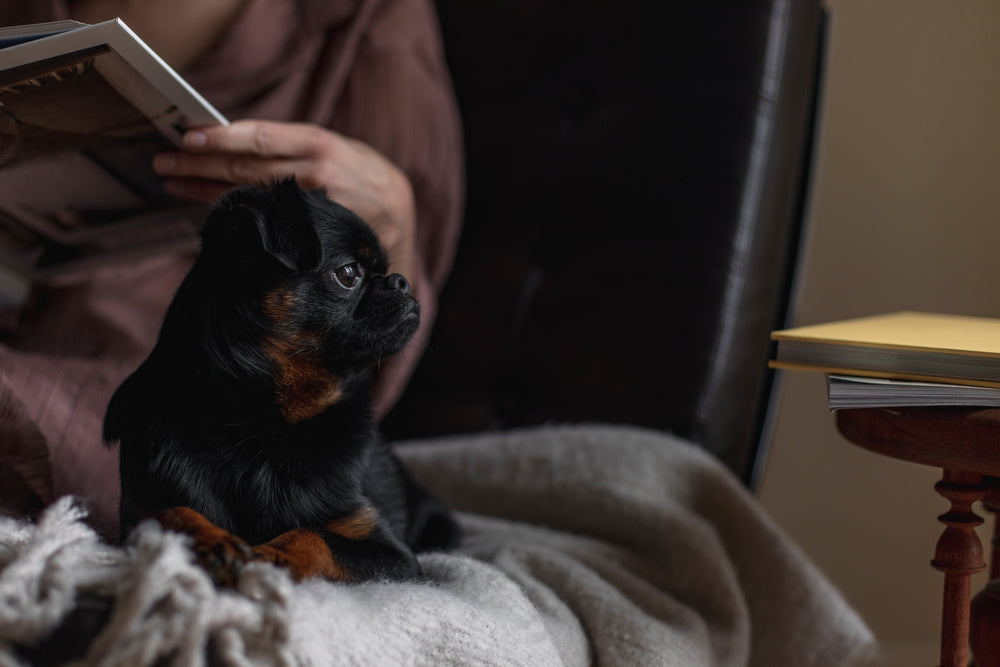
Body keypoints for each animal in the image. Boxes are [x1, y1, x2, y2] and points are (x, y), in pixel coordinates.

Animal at [103, 179, 458, 584]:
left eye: (390, 271)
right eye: (348, 274)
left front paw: (273, 555)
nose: (400, 281)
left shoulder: (392, 554)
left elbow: (315, 536)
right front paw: (211, 540)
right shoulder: (138, 514)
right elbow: (171, 514)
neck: (260, 424)